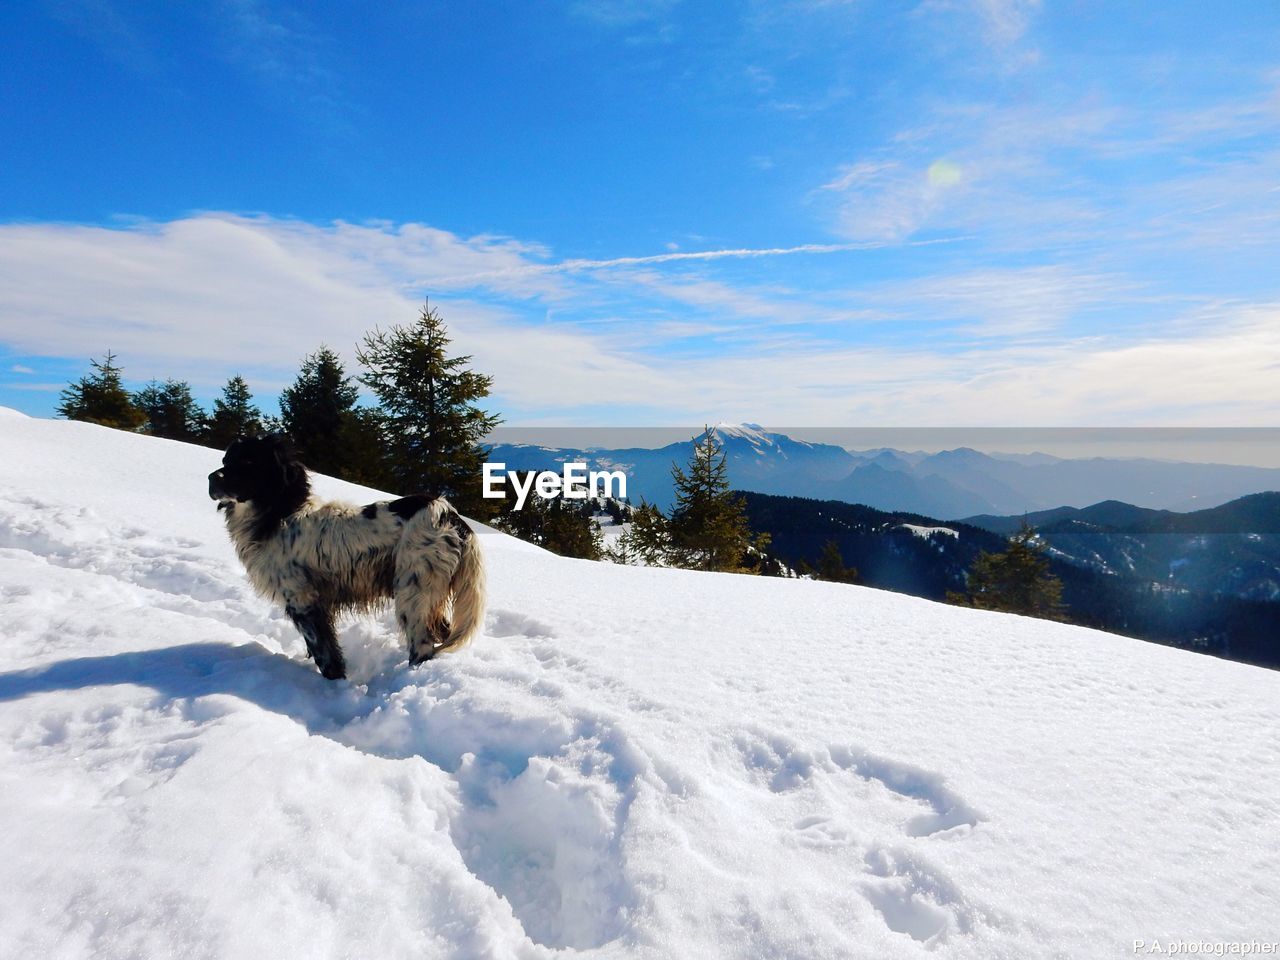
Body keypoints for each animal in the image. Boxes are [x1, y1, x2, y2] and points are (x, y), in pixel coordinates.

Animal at [207, 435, 486, 686]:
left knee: (423, 647)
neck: (280, 514)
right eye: (226, 460)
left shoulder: (303, 600)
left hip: (413, 594)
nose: (211, 478)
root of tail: (450, 516)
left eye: (248, 462)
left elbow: (325, 653)